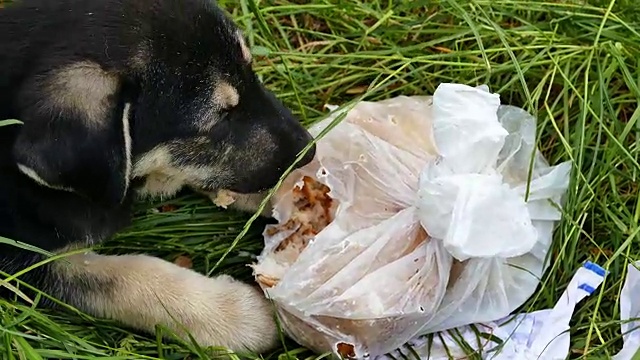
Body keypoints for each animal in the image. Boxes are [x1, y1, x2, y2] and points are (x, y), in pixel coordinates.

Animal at [0, 0, 318, 354]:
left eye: (251, 73)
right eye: (220, 119)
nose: (309, 151)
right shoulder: (23, 263)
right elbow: (128, 279)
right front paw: (237, 316)